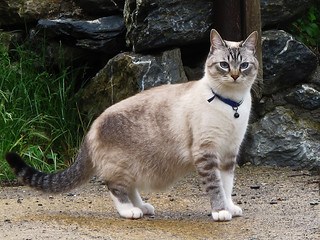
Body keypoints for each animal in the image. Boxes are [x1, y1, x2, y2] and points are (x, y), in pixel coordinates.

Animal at [5, 29, 260, 222]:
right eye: (224, 65)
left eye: (244, 65)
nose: (235, 75)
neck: (231, 105)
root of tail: (91, 129)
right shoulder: (207, 154)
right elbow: (216, 187)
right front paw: (220, 212)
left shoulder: (228, 154)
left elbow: (227, 186)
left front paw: (230, 207)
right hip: (123, 165)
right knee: (114, 187)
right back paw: (130, 211)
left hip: (138, 165)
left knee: (131, 187)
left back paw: (143, 207)